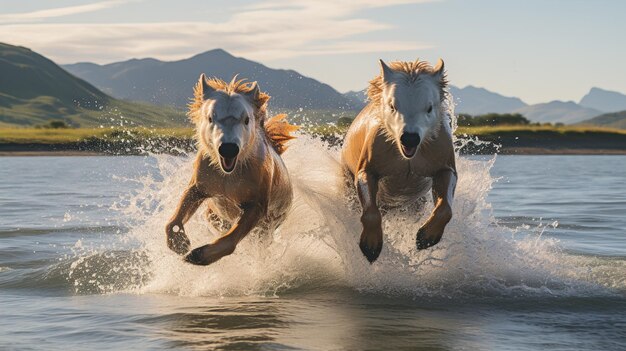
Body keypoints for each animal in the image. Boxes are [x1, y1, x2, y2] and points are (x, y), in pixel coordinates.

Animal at [166, 75, 298, 266]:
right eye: (210, 118)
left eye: (246, 119)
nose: (228, 148)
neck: (228, 176)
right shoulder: (201, 185)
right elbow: (181, 209)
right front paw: (179, 241)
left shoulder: (256, 203)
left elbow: (231, 239)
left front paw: (199, 254)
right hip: (214, 215)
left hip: (269, 225)